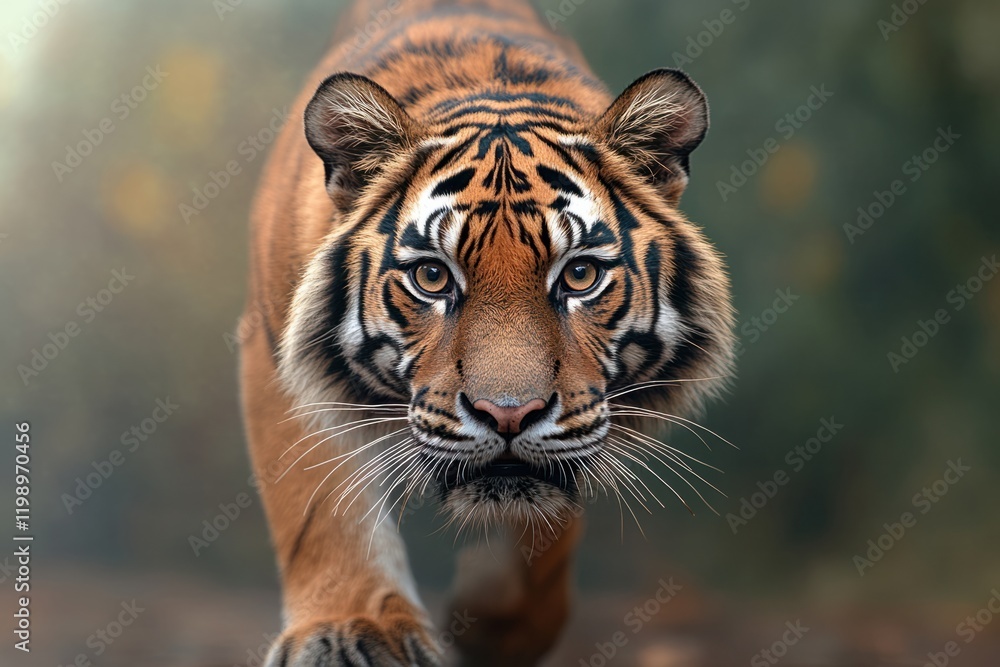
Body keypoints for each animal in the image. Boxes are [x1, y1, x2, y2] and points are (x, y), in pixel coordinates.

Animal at [240, 0, 735, 665]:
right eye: (431, 276)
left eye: (579, 274)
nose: (507, 414)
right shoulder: (278, 352)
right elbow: (318, 502)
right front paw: (351, 629)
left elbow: (547, 538)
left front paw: (486, 620)